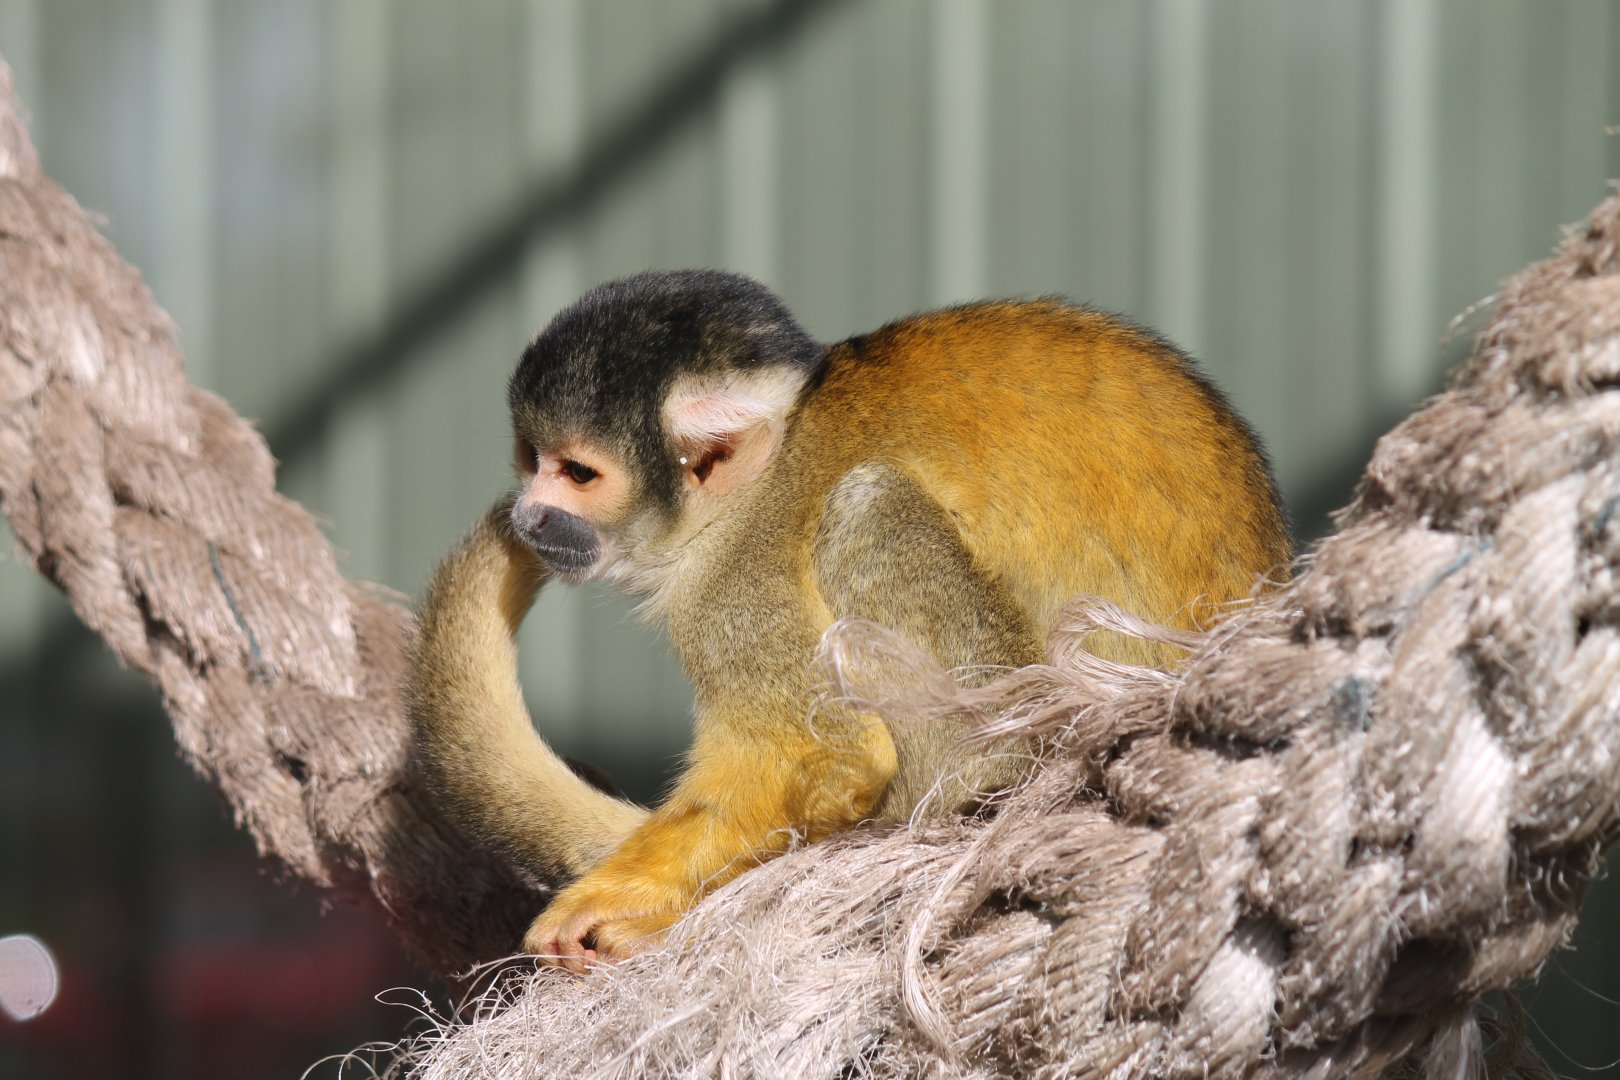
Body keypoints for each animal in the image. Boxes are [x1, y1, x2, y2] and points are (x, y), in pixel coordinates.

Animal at [408, 269, 1291, 973]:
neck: (749, 488)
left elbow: (828, 755)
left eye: (577, 474)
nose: (529, 515)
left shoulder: (738, 584)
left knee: (867, 503)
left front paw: (620, 901)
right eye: (533, 461)